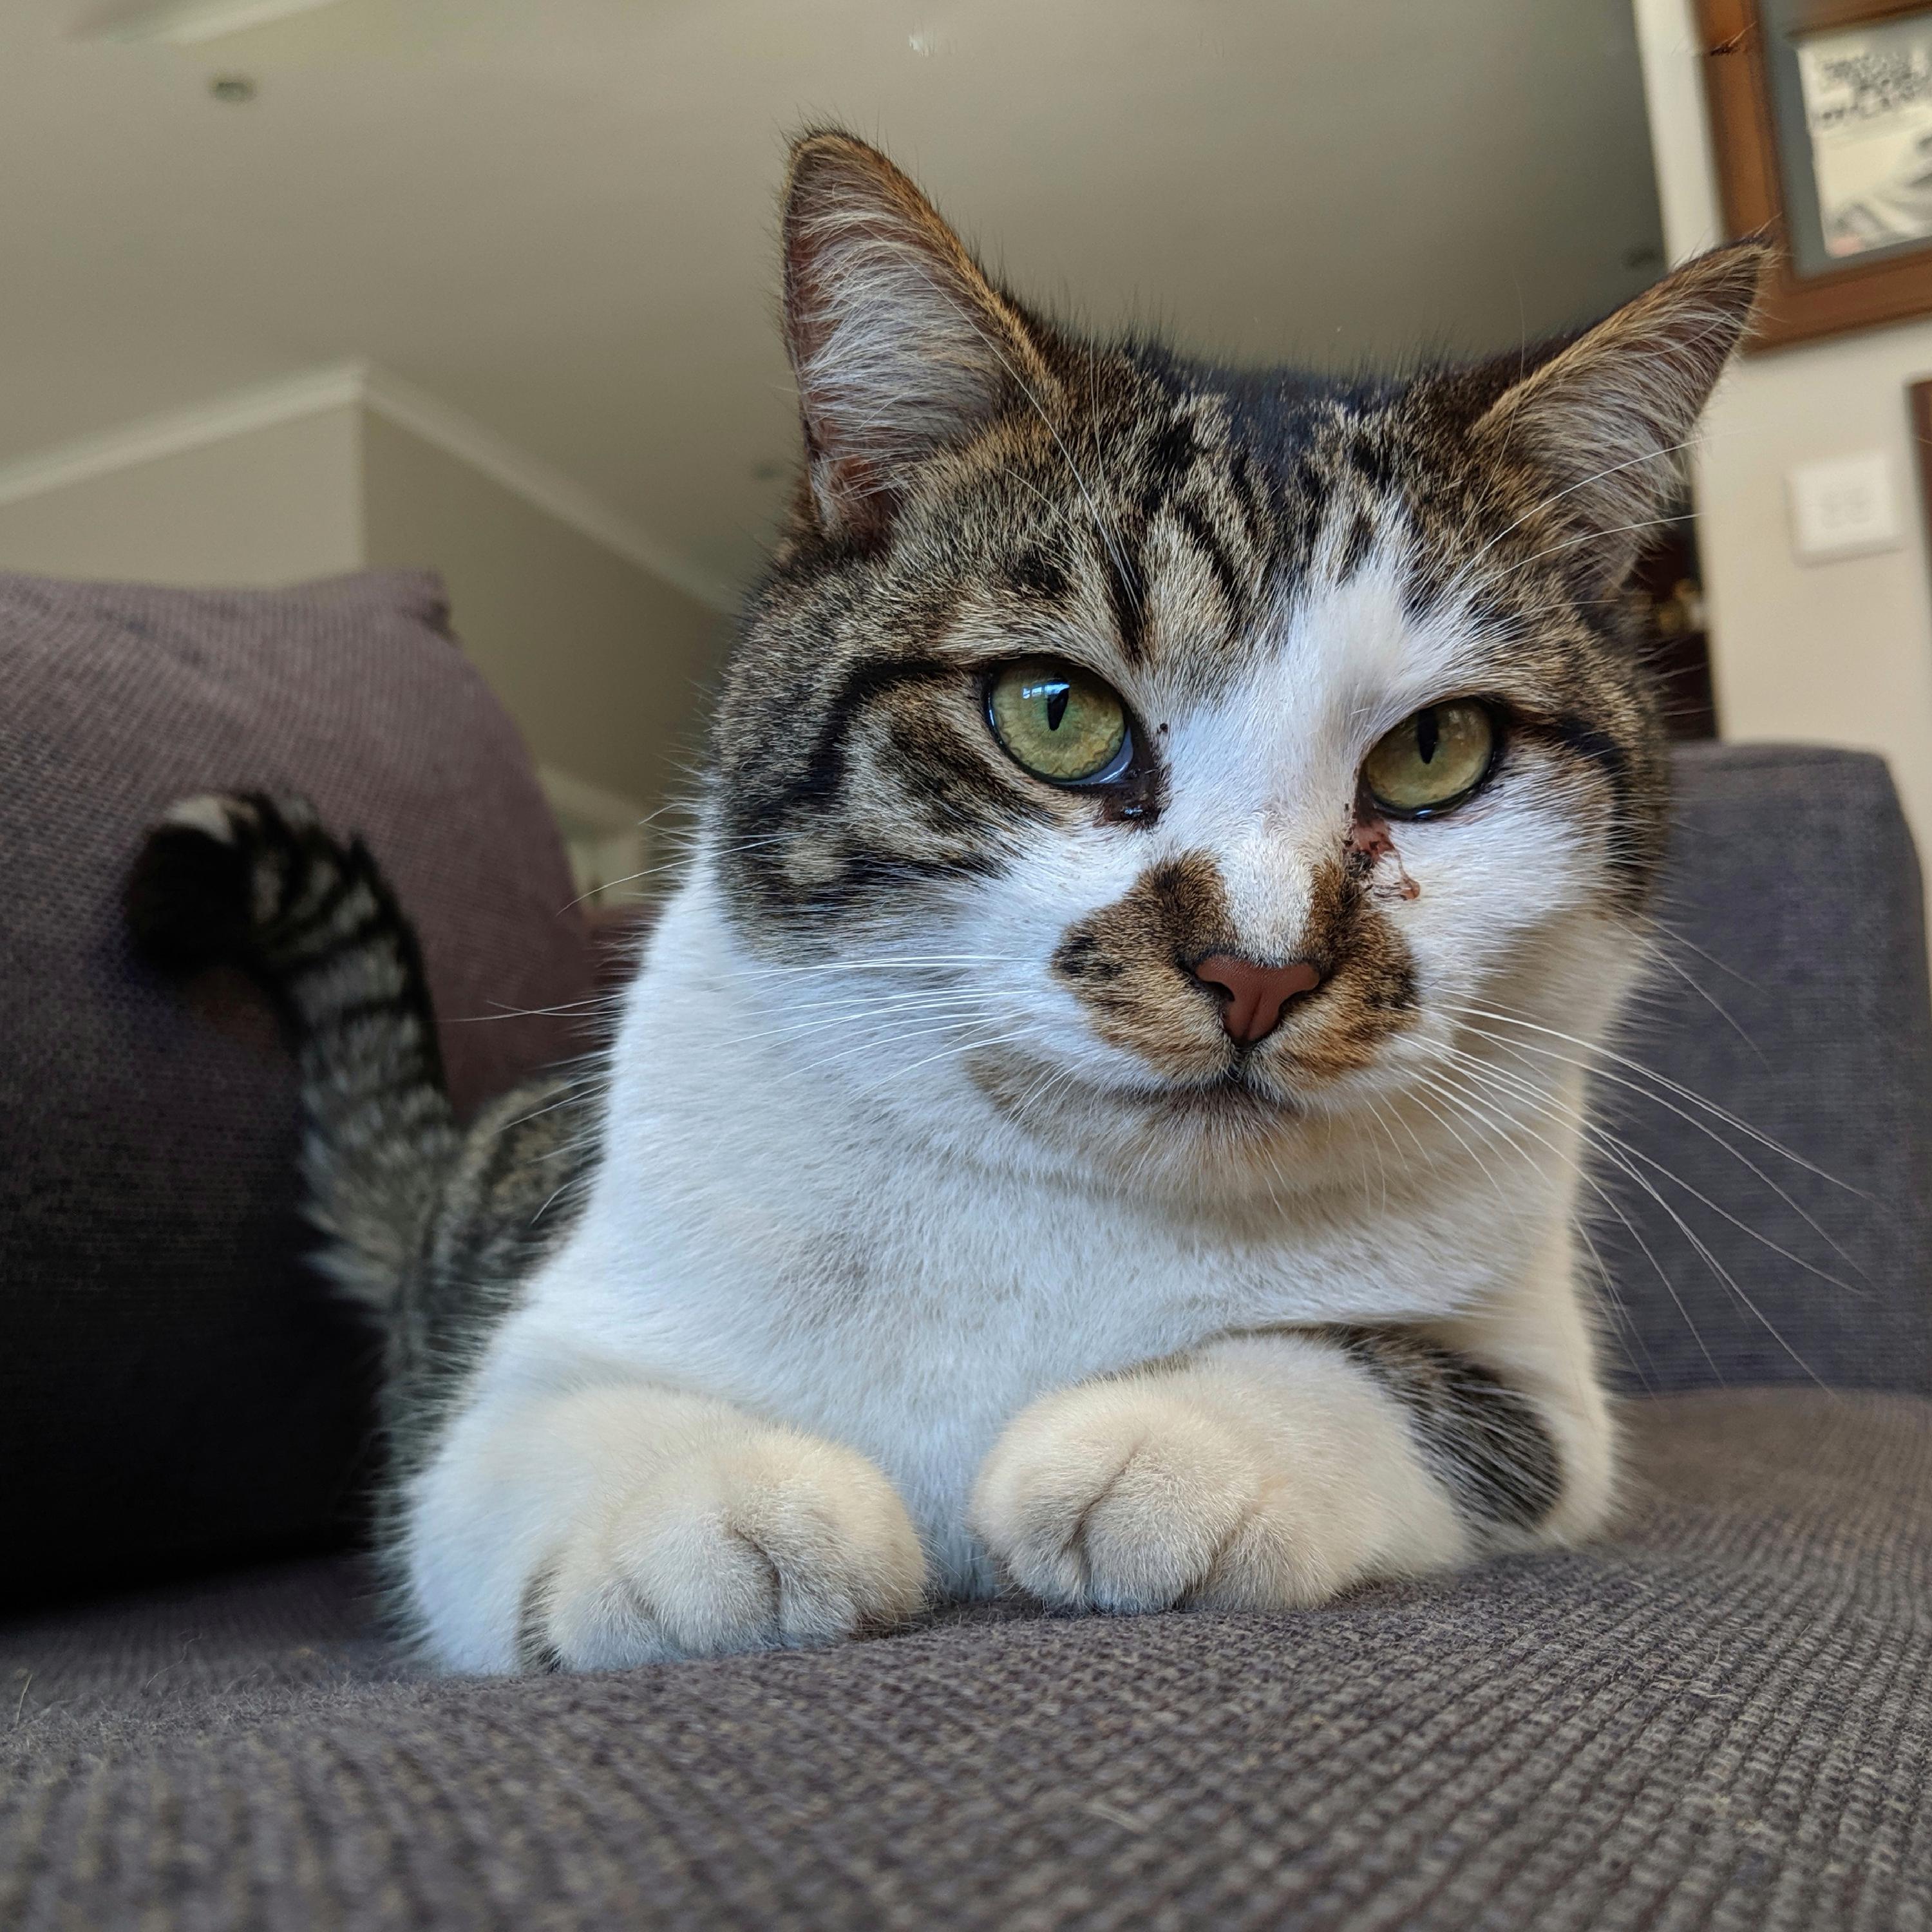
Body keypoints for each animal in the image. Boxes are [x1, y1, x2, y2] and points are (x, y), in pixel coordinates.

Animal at [127, 130, 1765, 1675]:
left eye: (1434, 753)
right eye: (1053, 711)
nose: (1257, 967)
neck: (1069, 1208)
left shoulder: (1543, 1384)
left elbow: (1398, 1380)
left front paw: (1175, 1442)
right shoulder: (523, 1366)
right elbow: (513, 1455)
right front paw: (713, 1514)